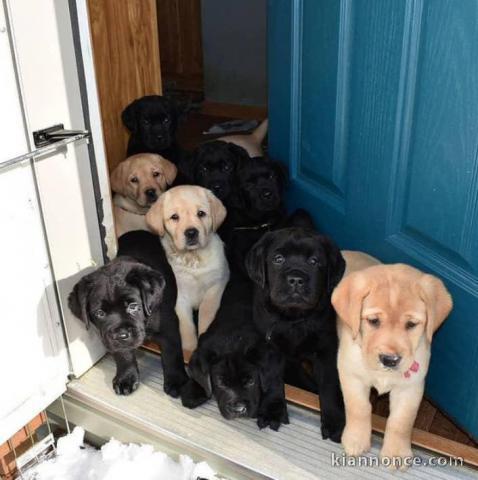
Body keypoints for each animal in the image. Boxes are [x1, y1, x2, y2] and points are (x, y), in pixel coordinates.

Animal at [67, 231, 205, 406]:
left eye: (133, 306)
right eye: (99, 313)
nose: (122, 335)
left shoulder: (169, 327)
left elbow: (172, 353)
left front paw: (177, 381)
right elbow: (123, 355)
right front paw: (126, 378)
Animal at [145, 186, 229, 350]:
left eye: (201, 213)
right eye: (174, 217)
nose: (191, 232)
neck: (193, 258)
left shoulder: (216, 285)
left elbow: (206, 314)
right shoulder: (180, 295)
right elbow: (186, 326)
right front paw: (189, 349)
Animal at [189, 278, 290, 432]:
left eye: (250, 381)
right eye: (220, 382)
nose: (238, 410)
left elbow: (274, 380)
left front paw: (272, 411)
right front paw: (196, 388)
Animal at [245, 225, 346, 442]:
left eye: (314, 261)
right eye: (278, 259)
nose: (296, 280)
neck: (293, 318)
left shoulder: (326, 348)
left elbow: (329, 384)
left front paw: (334, 421)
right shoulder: (269, 345)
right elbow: (273, 377)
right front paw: (272, 410)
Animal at [332, 253, 452, 466]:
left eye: (411, 324)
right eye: (373, 321)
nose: (390, 359)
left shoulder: (410, 387)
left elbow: (401, 421)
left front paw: (396, 453)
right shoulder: (351, 375)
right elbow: (359, 408)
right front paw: (355, 439)